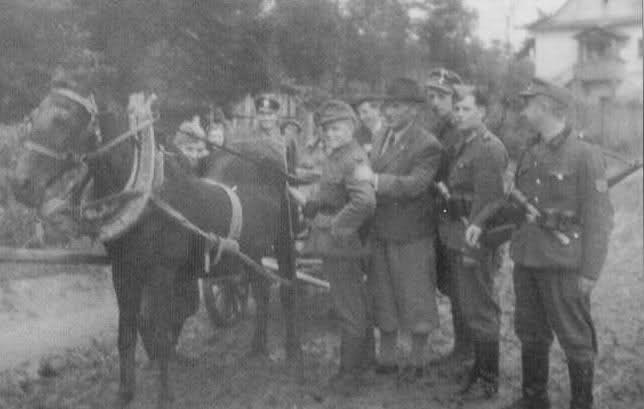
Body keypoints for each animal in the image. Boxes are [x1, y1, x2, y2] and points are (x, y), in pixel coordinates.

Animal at [8, 71, 300, 406]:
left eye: (62, 119)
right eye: (32, 117)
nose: (20, 184)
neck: (147, 196)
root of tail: (269, 157)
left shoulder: (162, 273)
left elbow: (160, 331)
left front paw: (164, 396)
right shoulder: (123, 271)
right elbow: (126, 332)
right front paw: (124, 394)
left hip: (285, 241)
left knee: (287, 289)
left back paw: (292, 350)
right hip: (251, 252)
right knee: (262, 289)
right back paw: (258, 347)